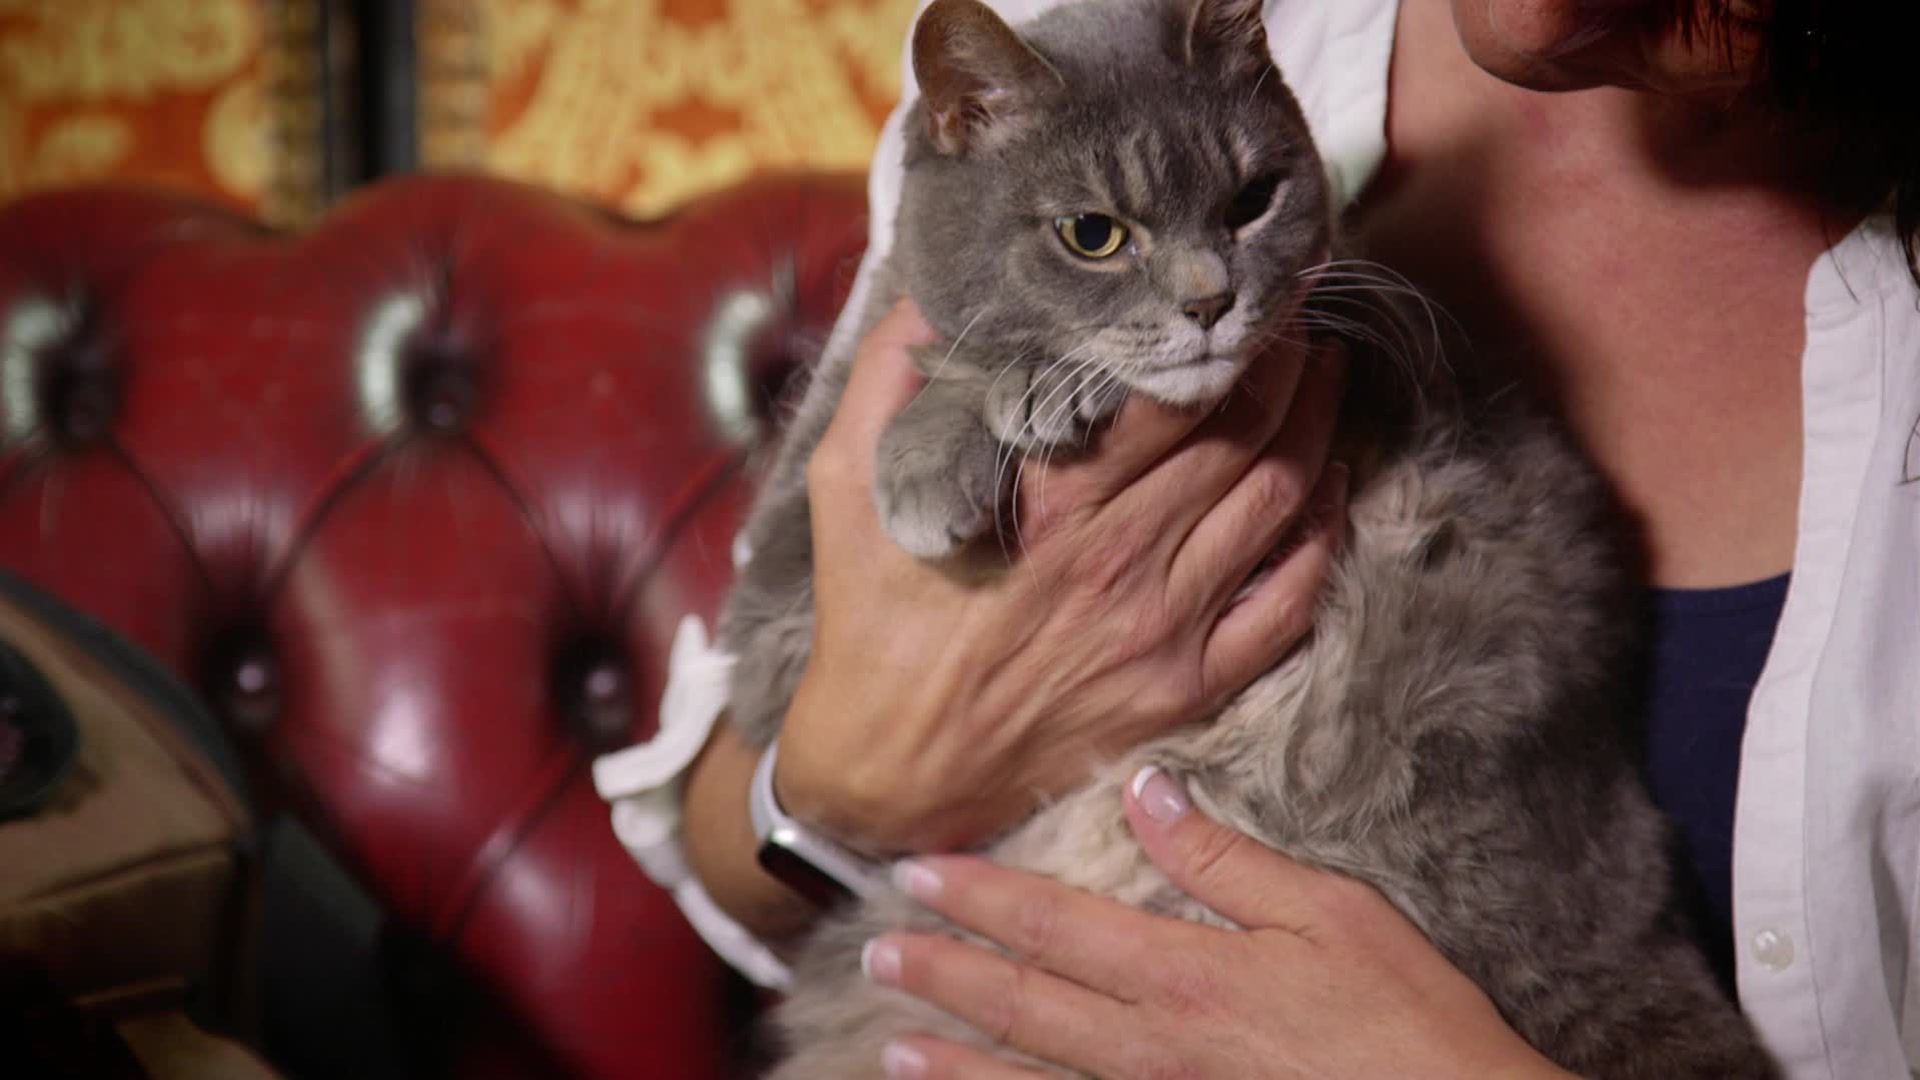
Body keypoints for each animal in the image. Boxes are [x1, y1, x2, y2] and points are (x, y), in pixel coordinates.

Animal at [715, 0, 1780, 1076]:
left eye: (1252, 200)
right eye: (1092, 235)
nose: (1207, 301)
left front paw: (1018, 401)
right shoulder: (776, 613)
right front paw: (962, 424)